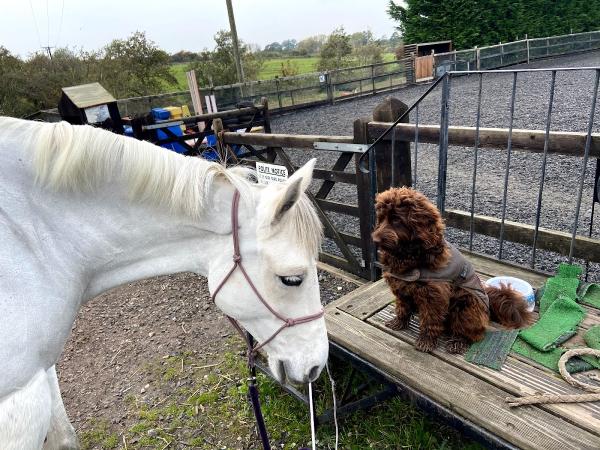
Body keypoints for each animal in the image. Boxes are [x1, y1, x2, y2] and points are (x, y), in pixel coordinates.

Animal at [372, 187, 532, 356]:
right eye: (381, 219)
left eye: (396, 220)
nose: (375, 240)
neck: (409, 255)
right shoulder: (401, 288)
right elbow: (402, 308)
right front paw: (398, 323)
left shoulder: (433, 296)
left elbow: (430, 321)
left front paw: (426, 342)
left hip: (467, 305)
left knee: (471, 332)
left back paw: (458, 342)